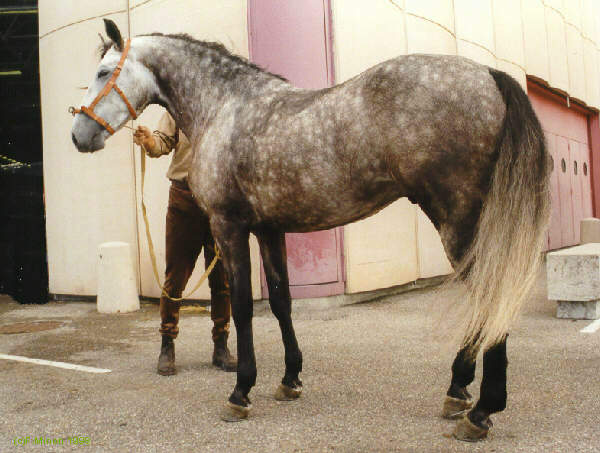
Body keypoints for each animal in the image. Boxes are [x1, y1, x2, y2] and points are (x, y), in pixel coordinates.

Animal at [72, 21, 552, 442]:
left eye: (102, 72)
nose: (79, 135)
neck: (225, 107)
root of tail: (487, 74)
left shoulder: (230, 228)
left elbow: (243, 307)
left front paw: (241, 392)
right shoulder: (270, 231)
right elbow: (281, 302)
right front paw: (290, 379)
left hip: (457, 220)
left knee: (490, 295)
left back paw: (481, 411)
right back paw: (459, 391)